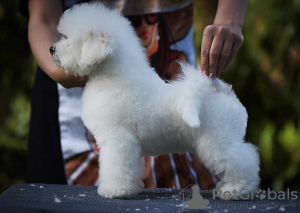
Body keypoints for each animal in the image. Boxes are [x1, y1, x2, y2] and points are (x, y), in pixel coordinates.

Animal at [51, 2, 260, 200]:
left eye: (68, 39)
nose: (51, 49)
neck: (113, 78)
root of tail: (221, 90)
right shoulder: (130, 146)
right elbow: (131, 168)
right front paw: (130, 189)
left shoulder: (118, 140)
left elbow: (116, 167)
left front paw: (114, 190)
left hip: (219, 140)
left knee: (244, 161)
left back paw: (236, 190)